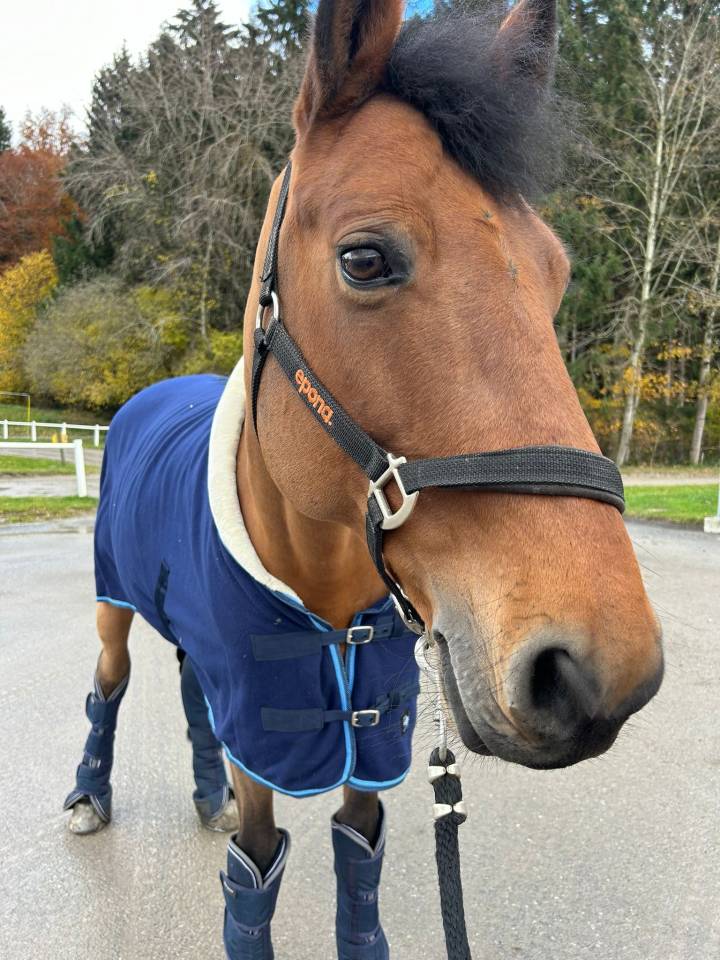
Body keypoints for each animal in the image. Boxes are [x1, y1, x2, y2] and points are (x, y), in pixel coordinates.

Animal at [64, 1, 664, 957]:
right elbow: (252, 883)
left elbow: (360, 879)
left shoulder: (364, 754)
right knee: (109, 685)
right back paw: (89, 795)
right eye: (365, 260)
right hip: (112, 603)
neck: (324, 599)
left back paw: (203, 791)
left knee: (193, 690)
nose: (596, 672)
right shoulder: (264, 742)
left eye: (558, 273)